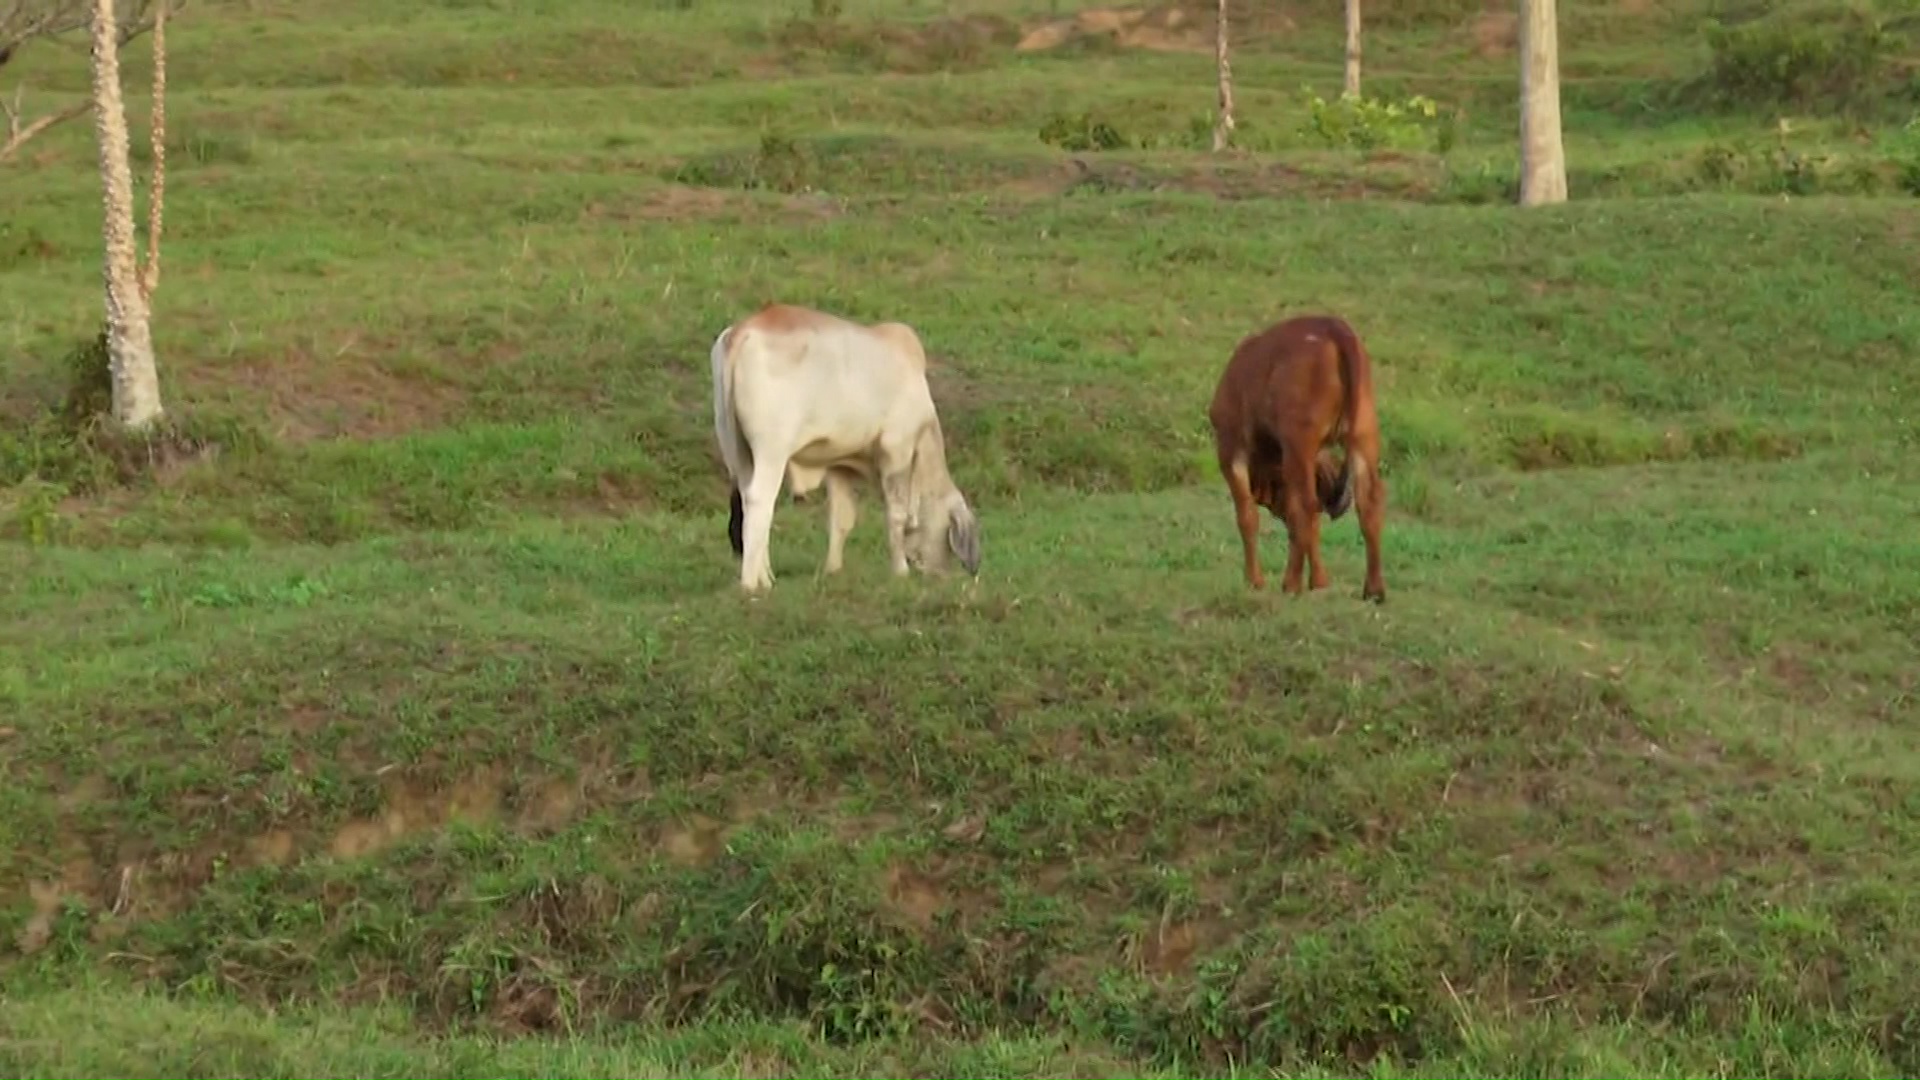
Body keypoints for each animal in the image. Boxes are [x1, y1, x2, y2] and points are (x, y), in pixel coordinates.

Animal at [710, 299, 983, 588]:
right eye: (948, 539)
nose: (941, 576)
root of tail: (745, 329)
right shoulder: (896, 448)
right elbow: (896, 513)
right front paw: (900, 571)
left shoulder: (839, 465)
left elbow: (841, 519)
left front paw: (833, 569)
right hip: (771, 452)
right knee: (760, 500)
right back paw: (752, 583)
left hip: (738, 451)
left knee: (745, 500)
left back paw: (765, 575)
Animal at [1198, 311, 1382, 599]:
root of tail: (1333, 327)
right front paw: (1319, 581)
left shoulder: (1230, 448)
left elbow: (1248, 516)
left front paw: (1255, 580)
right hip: (1364, 435)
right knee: (1368, 503)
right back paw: (1374, 590)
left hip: (1299, 442)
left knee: (1305, 507)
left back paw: (1291, 583)